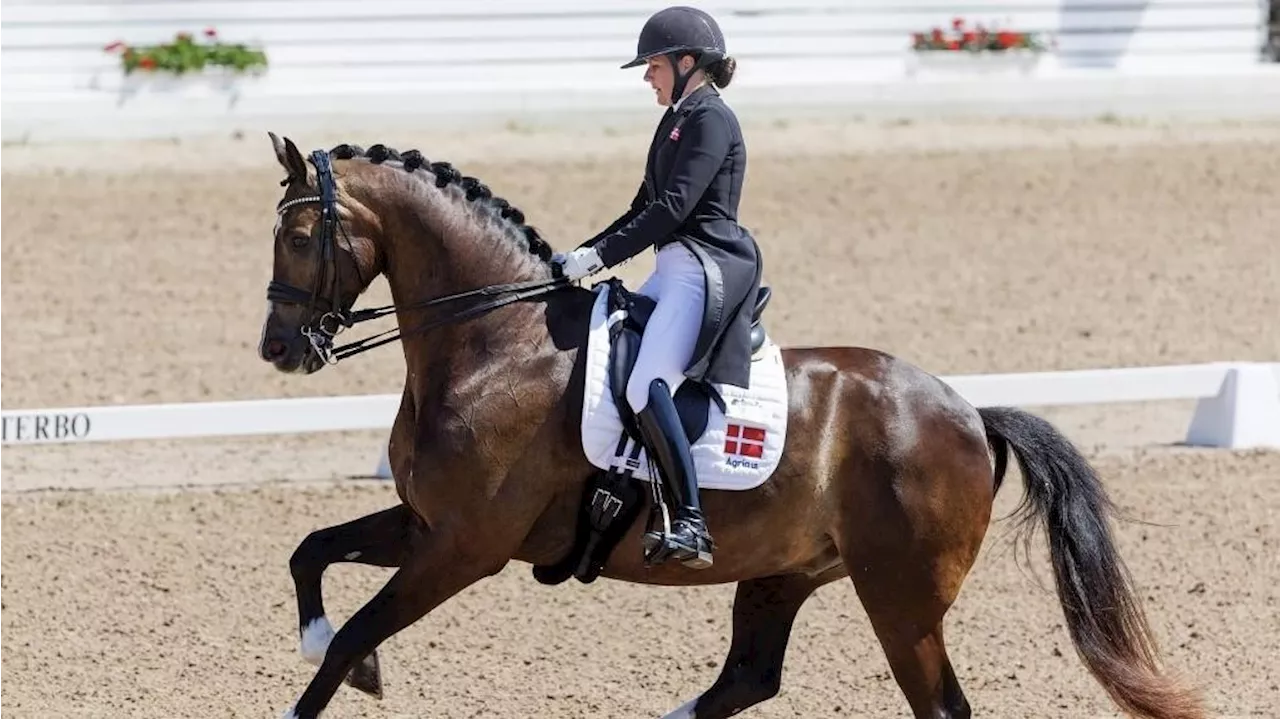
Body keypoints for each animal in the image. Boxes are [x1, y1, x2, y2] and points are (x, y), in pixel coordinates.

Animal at [257, 133, 1198, 716]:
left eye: (300, 235)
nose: (279, 349)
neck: (495, 341)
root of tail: (969, 411)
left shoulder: (464, 546)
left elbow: (353, 633)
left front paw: (349, 662)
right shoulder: (425, 523)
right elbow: (309, 554)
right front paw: (339, 650)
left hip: (902, 597)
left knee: (935, 703)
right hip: (786, 571)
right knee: (747, 678)